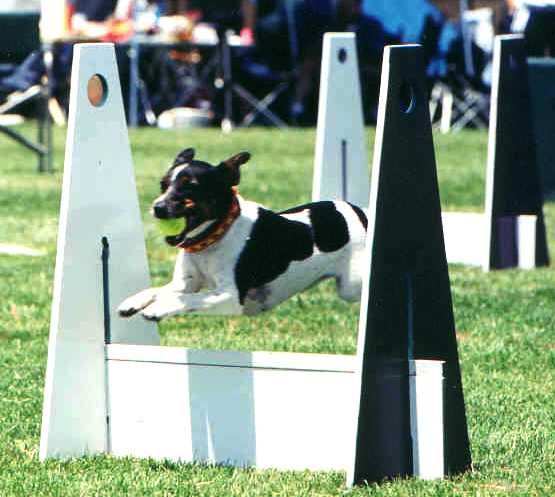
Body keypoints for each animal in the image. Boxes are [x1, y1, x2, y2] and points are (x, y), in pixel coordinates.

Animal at [118, 146, 370, 322]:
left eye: (190, 186)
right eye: (163, 185)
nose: (157, 207)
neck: (214, 237)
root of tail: (360, 213)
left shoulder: (230, 297)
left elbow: (190, 299)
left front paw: (158, 309)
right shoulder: (185, 282)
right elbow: (160, 291)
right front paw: (134, 302)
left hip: (351, 287)